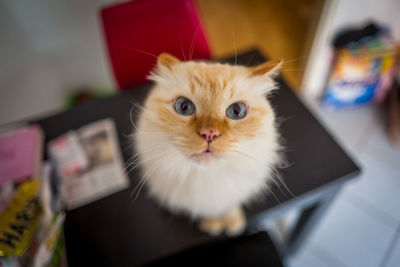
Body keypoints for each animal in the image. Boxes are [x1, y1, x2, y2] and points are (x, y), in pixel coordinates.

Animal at [134, 52, 282, 237]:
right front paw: (212, 226)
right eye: (184, 107)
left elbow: (230, 206)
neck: (208, 176)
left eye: (237, 111)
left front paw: (233, 224)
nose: (209, 133)